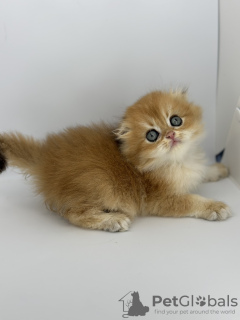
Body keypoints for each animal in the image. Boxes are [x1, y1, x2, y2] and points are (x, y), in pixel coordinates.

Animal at [0, 89, 231, 231]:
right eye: (152, 135)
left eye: (175, 120)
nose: (170, 135)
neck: (178, 160)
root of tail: (45, 158)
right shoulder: (161, 199)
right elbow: (192, 201)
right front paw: (215, 207)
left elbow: (203, 171)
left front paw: (217, 169)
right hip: (99, 182)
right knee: (74, 214)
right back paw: (112, 220)